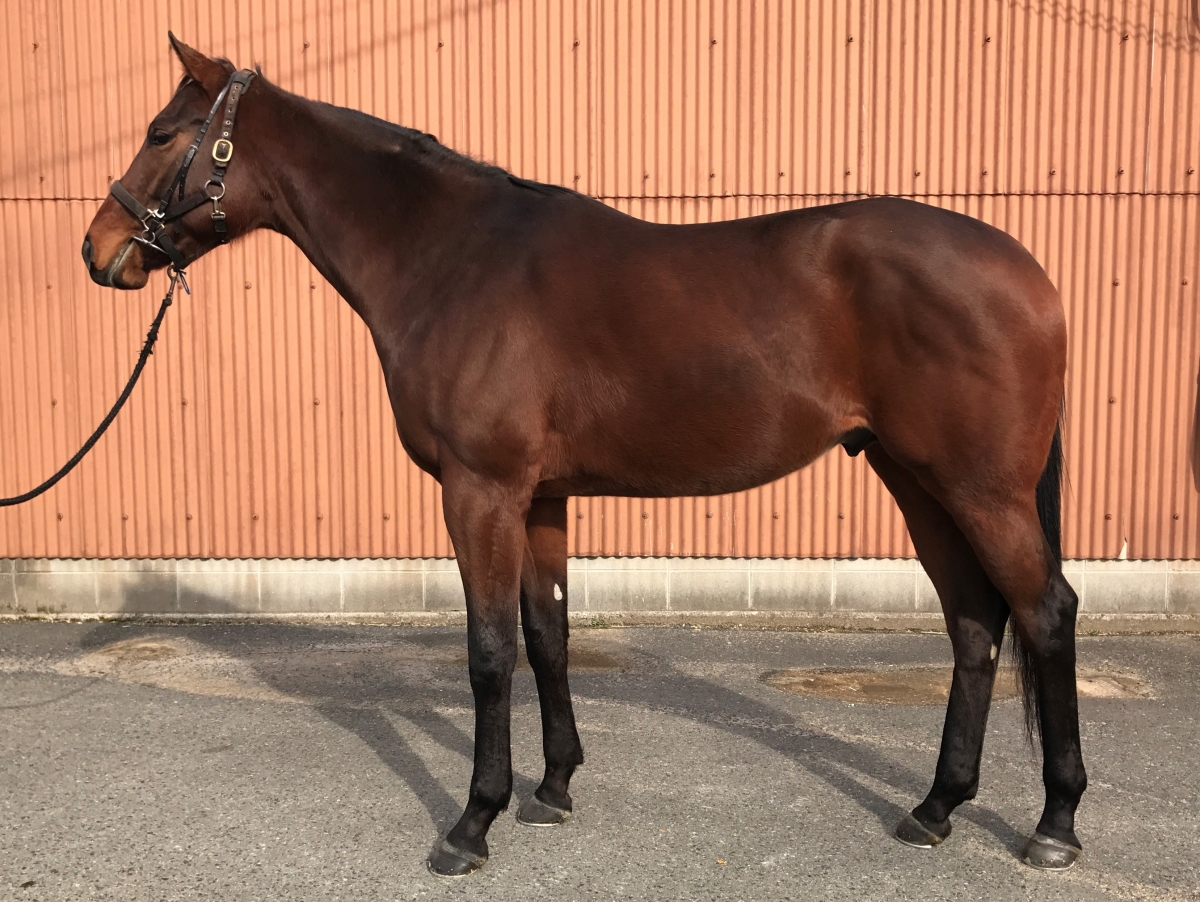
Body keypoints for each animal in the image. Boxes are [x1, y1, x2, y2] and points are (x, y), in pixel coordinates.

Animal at [82, 36, 1086, 877]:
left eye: (162, 133)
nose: (100, 250)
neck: (450, 259)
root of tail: (1032, 275)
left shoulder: (479, 492)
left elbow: (490, 652)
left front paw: (472, 823)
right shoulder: (539, 499)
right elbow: (549, 636)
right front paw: (552, 790)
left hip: (981, 489)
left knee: (1044, 613)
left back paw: (1055, 825)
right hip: (915, 480)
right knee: (973, 623)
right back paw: (936, 807)